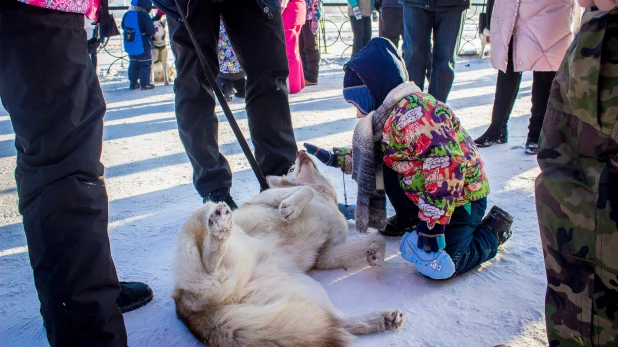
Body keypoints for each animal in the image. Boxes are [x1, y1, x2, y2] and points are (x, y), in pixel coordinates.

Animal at [172, 152, 404, 347]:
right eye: (292, 167)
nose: (301, 151)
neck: (325, 196)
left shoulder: (326, 254)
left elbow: (377, 240)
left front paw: (375, 255)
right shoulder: (274, 197)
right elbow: (305, 190)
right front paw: (291, 208)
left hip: (308, 291)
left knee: (339, 321)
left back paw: (383, 319)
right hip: (205, 215)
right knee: (208, 265)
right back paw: (219, 227)